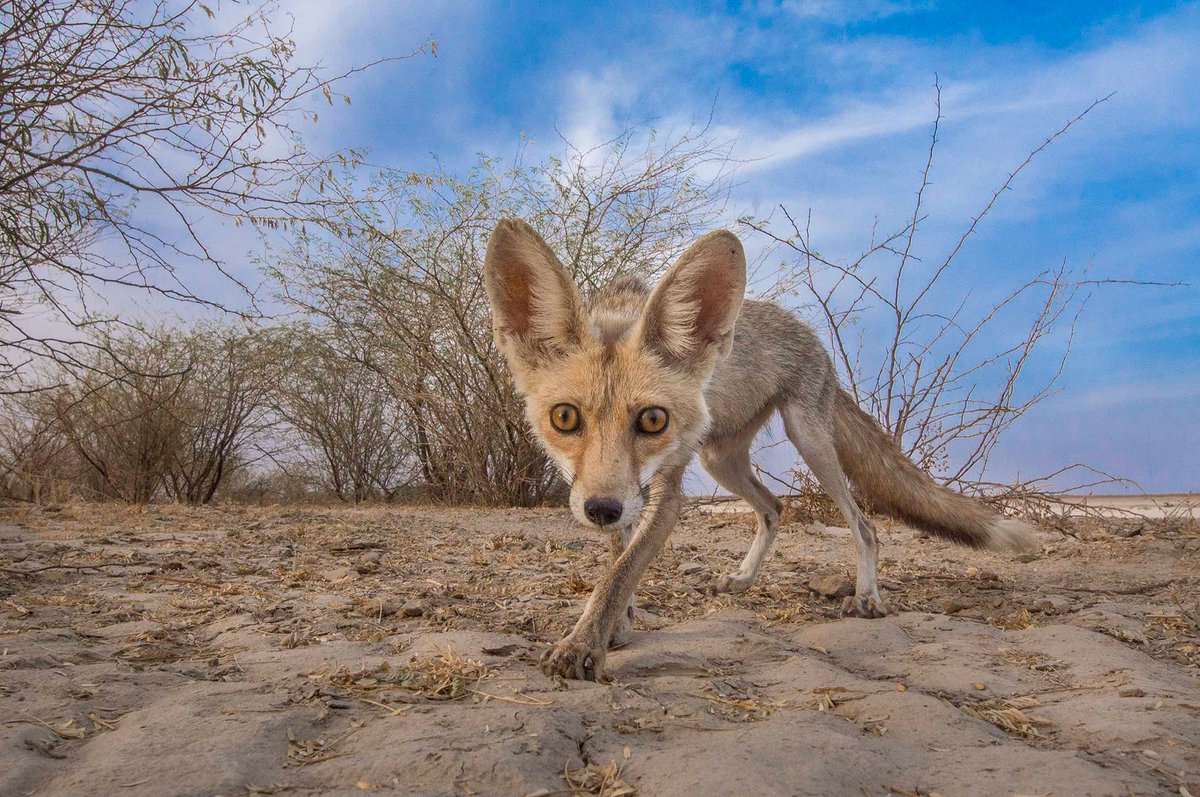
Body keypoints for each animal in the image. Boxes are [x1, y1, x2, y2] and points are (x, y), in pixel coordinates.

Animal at [482, 220, 1036, 681]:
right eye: (565, 418)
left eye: (653, 420)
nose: (600, 509)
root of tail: (812, 338)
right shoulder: (627, 493)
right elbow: (617, 562)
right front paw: (616, 626)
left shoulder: (665, 491)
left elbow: (621, 571)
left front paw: (583, 646)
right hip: (720, 459)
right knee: (775, 508)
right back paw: (745, 578)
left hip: (810, 441)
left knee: (864, 524)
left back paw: (867, 597)